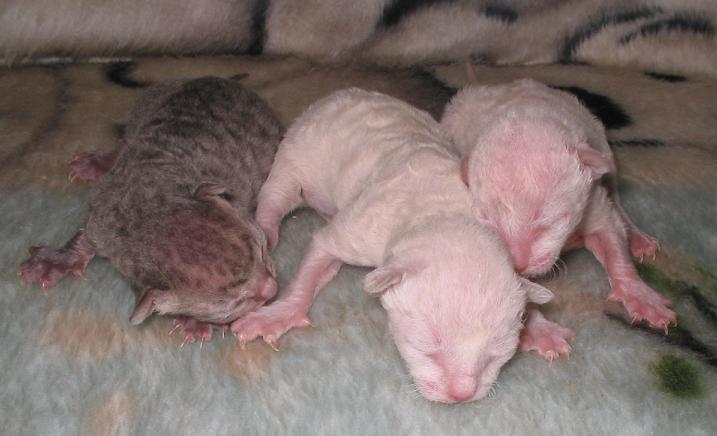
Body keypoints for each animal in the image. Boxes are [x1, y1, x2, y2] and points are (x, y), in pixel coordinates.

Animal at [20, 76, 282, 342]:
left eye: (262, 249)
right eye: (234, 303)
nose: (273, 288)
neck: (142, 213)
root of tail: (221, 80)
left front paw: (194, 322)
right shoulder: (105, 209)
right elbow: (89, 230)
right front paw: (58, 259)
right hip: (145, 105)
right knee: (126, 140)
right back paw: (100, 162)